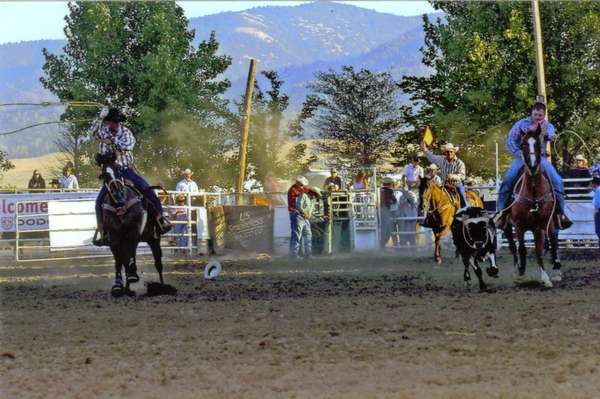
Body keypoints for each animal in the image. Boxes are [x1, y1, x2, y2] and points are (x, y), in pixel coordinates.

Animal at [96, 155, 176, 298]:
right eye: (105, 175)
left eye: (119, 170)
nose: (119, 194)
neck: (120, 206)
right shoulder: (113, 237)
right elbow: (118, 261)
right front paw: (118, 286)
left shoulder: (133, 232)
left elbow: (130, 255)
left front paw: (132, 275)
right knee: (124, 261)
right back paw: (127, 289)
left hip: (154, 238)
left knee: (158, 263)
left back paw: (162, 288)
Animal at [502, 126, 564, 286]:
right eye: (523, 144)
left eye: (538, 144)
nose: (532, 165)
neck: (534, 191)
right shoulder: (519, 226)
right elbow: (522, 249)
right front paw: (521, 272)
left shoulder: (540, 226)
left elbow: (539, 251)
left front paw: (545, 277)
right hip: (508, 226)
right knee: (513, 246)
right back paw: (516, 268)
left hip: (550, 224)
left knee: (553, 239)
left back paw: (556, 268)